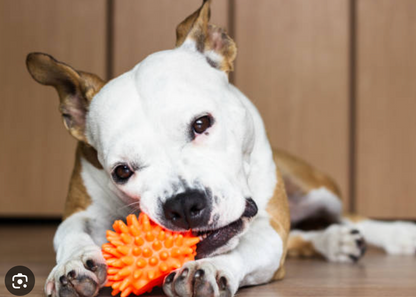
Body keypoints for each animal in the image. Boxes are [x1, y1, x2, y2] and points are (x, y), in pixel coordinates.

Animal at [26, 1, 416, 294]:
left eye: (202, 124)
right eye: (122, 172)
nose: (184, 204)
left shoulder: (269, 228)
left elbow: (248, 247)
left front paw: (212, 268)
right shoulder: (81, 209)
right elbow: (69, 232)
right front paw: (73, 264)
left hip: (318, 189)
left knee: (348, 215)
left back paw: (396, 235)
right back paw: (334, 241)